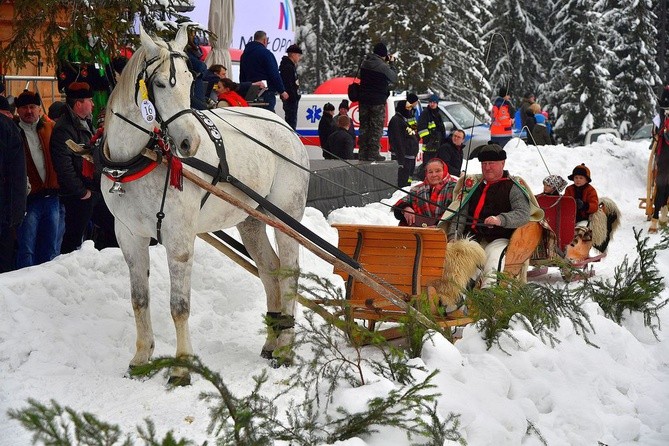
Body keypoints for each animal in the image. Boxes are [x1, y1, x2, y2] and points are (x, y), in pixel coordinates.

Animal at [102, 26, 310, 386]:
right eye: (159, 84)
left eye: (189, 81)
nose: (190, 143)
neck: (138, 159)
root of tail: (285, 126)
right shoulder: (128, 235)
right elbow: (139, 300)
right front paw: (141, 358)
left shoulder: (179, 238)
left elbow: (179, 306)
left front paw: (182, 367)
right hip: (250, 219)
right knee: (269, 269)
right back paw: (272, 340)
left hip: (286, 217)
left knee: (289, 273)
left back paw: (285, 347)